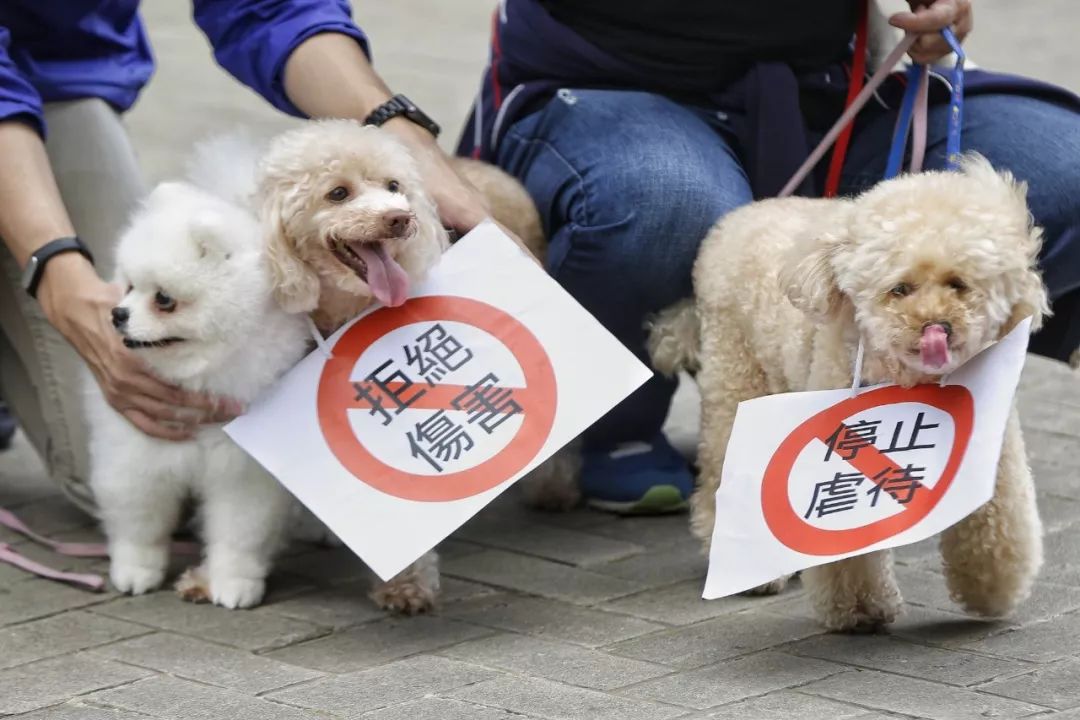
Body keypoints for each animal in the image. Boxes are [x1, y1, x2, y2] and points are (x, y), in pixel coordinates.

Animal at [85, 139, 308, 608]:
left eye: (164, 300)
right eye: (128, 287)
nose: (118, 315)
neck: (202, 376)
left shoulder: (244, 468)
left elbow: (240, 533)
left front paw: (234, 583)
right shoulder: (134, 451)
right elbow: (138, 520)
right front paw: (135, 571)